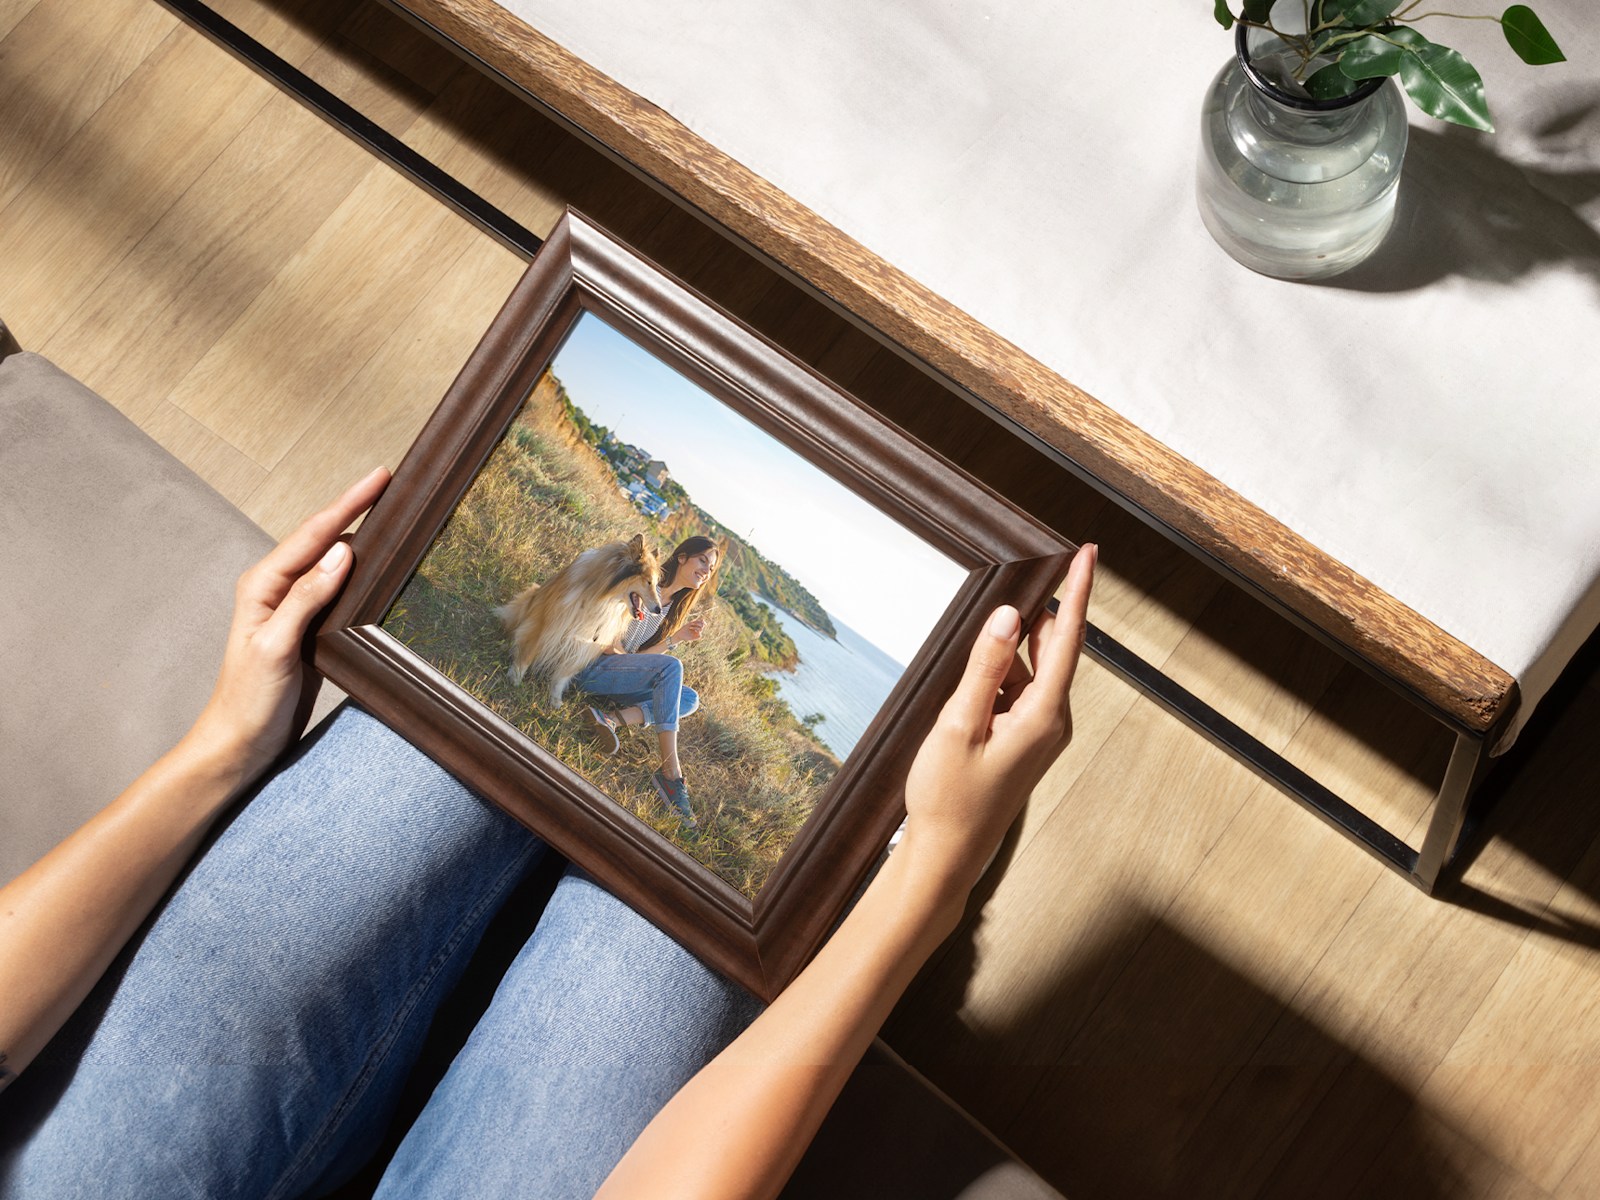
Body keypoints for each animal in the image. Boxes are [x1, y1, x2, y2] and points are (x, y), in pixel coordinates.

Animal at [492, 534, 656, 704]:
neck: (606, 599)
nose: (658, 610)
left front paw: (555, 699)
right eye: (649, 582)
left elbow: (565, 674)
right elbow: (527, 653)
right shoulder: (545, 622)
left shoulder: (589, 643)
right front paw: (515, 679)